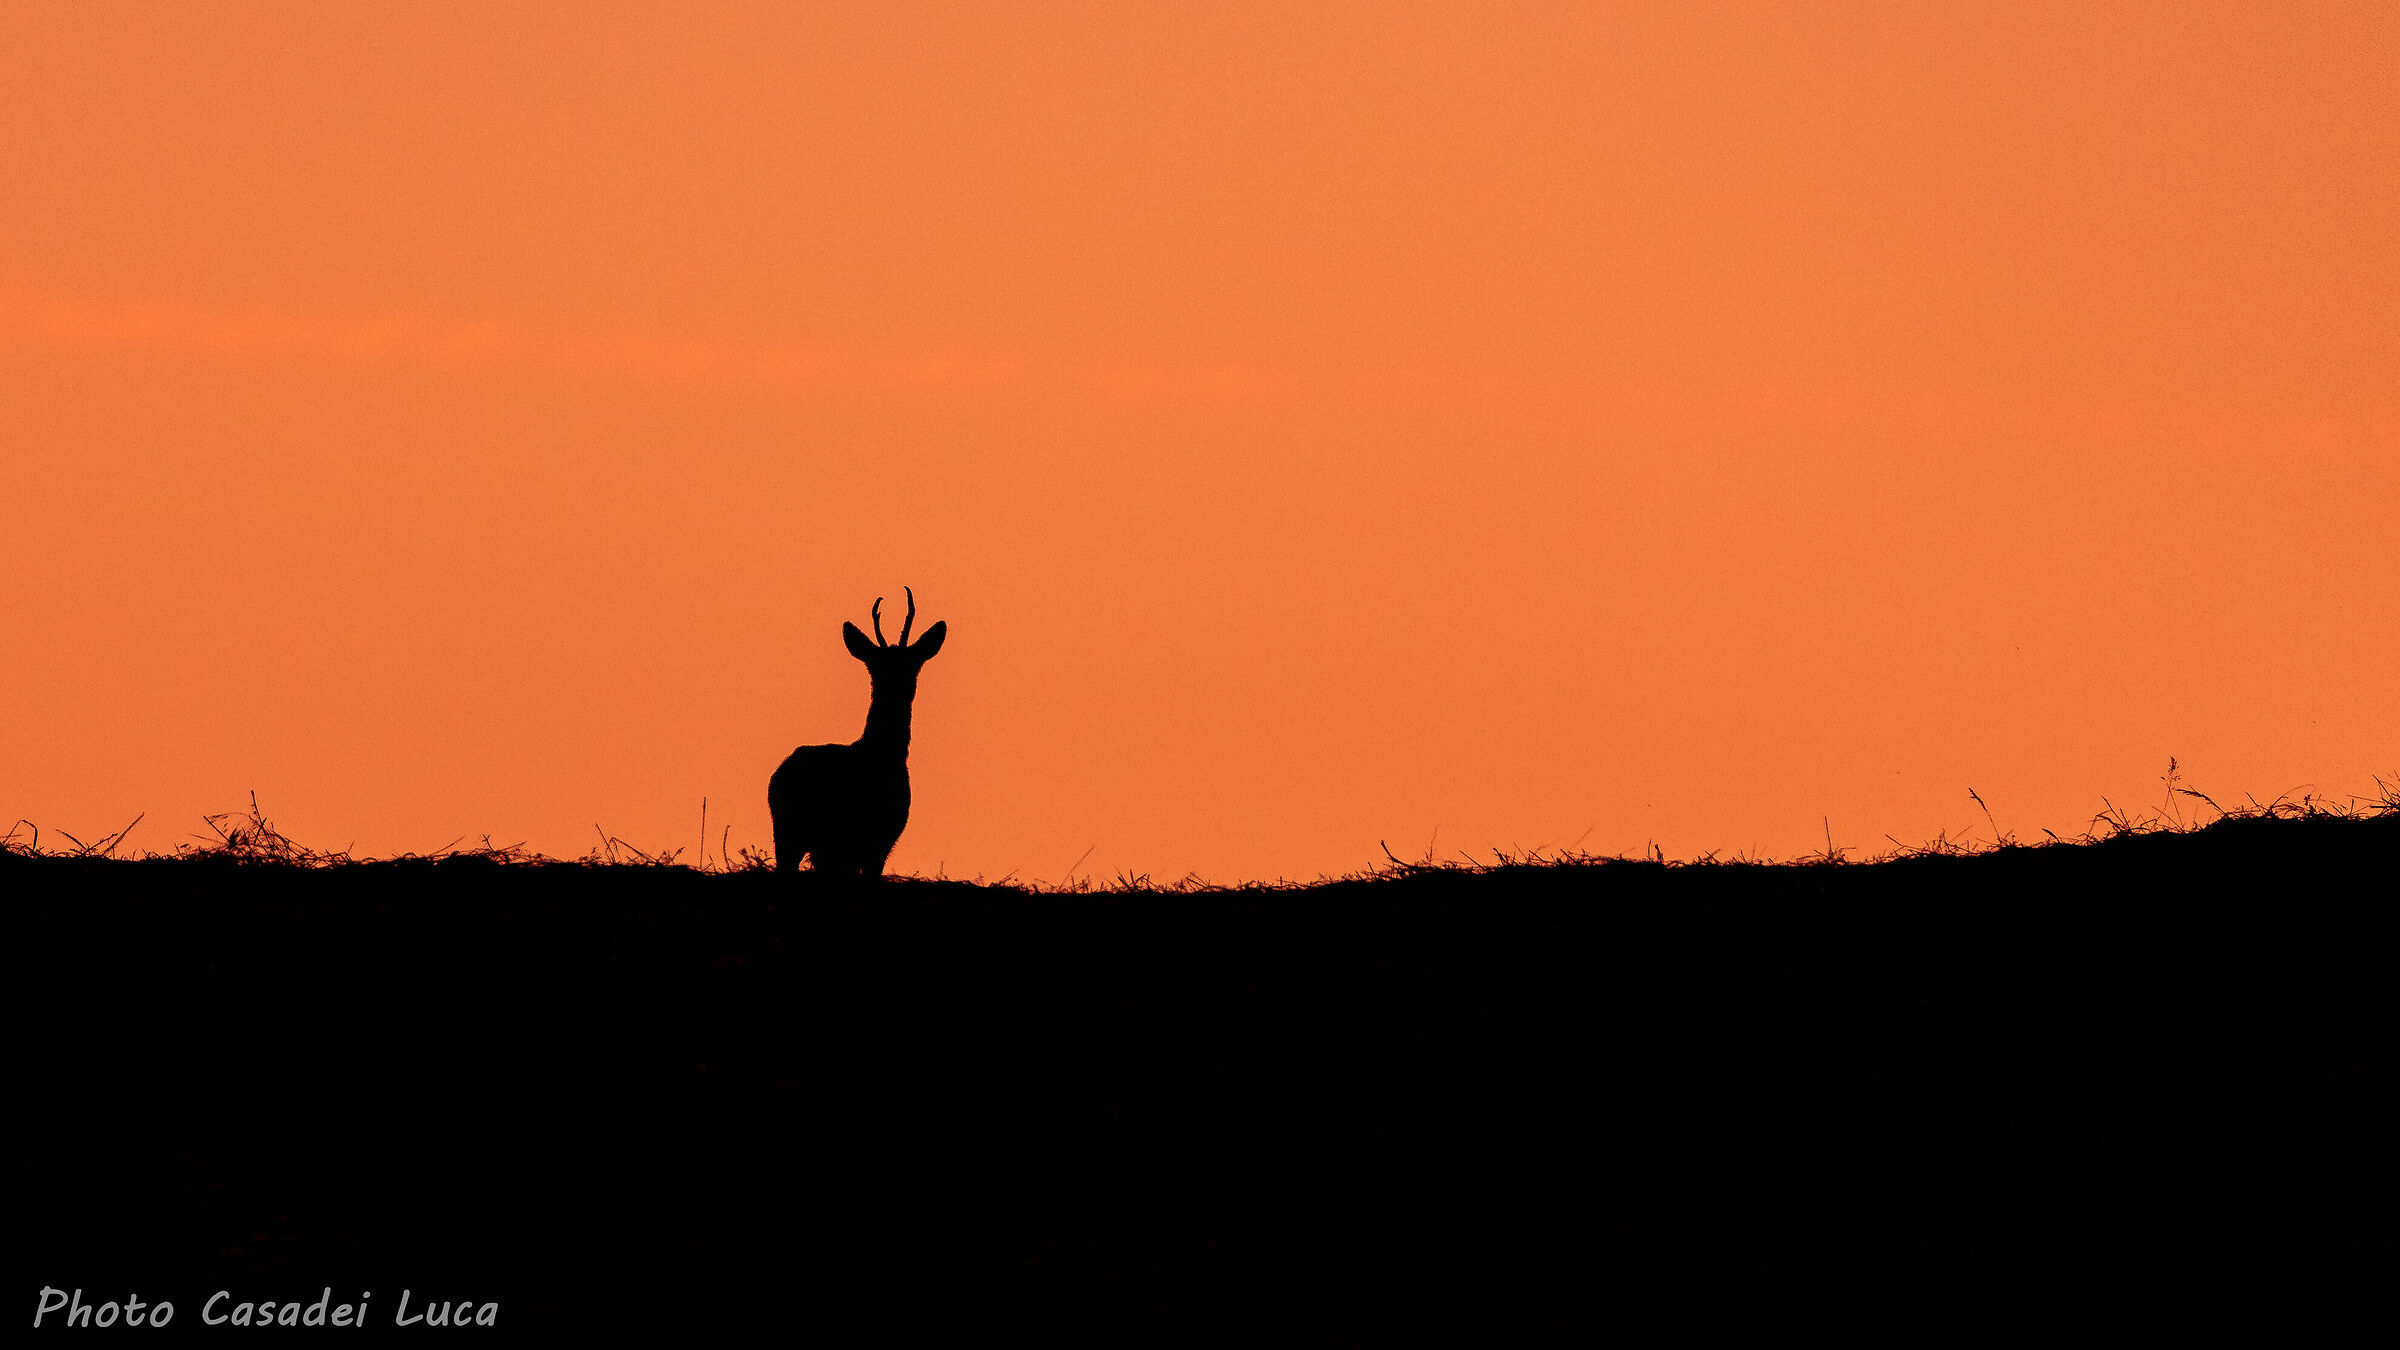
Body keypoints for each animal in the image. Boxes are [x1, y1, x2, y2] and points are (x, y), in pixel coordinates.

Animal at [769, 587, 948, 877]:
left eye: (912, 665)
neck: (879, 755)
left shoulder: (881, 842)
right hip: (794, 833)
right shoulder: (865, 842)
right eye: (878, 667)